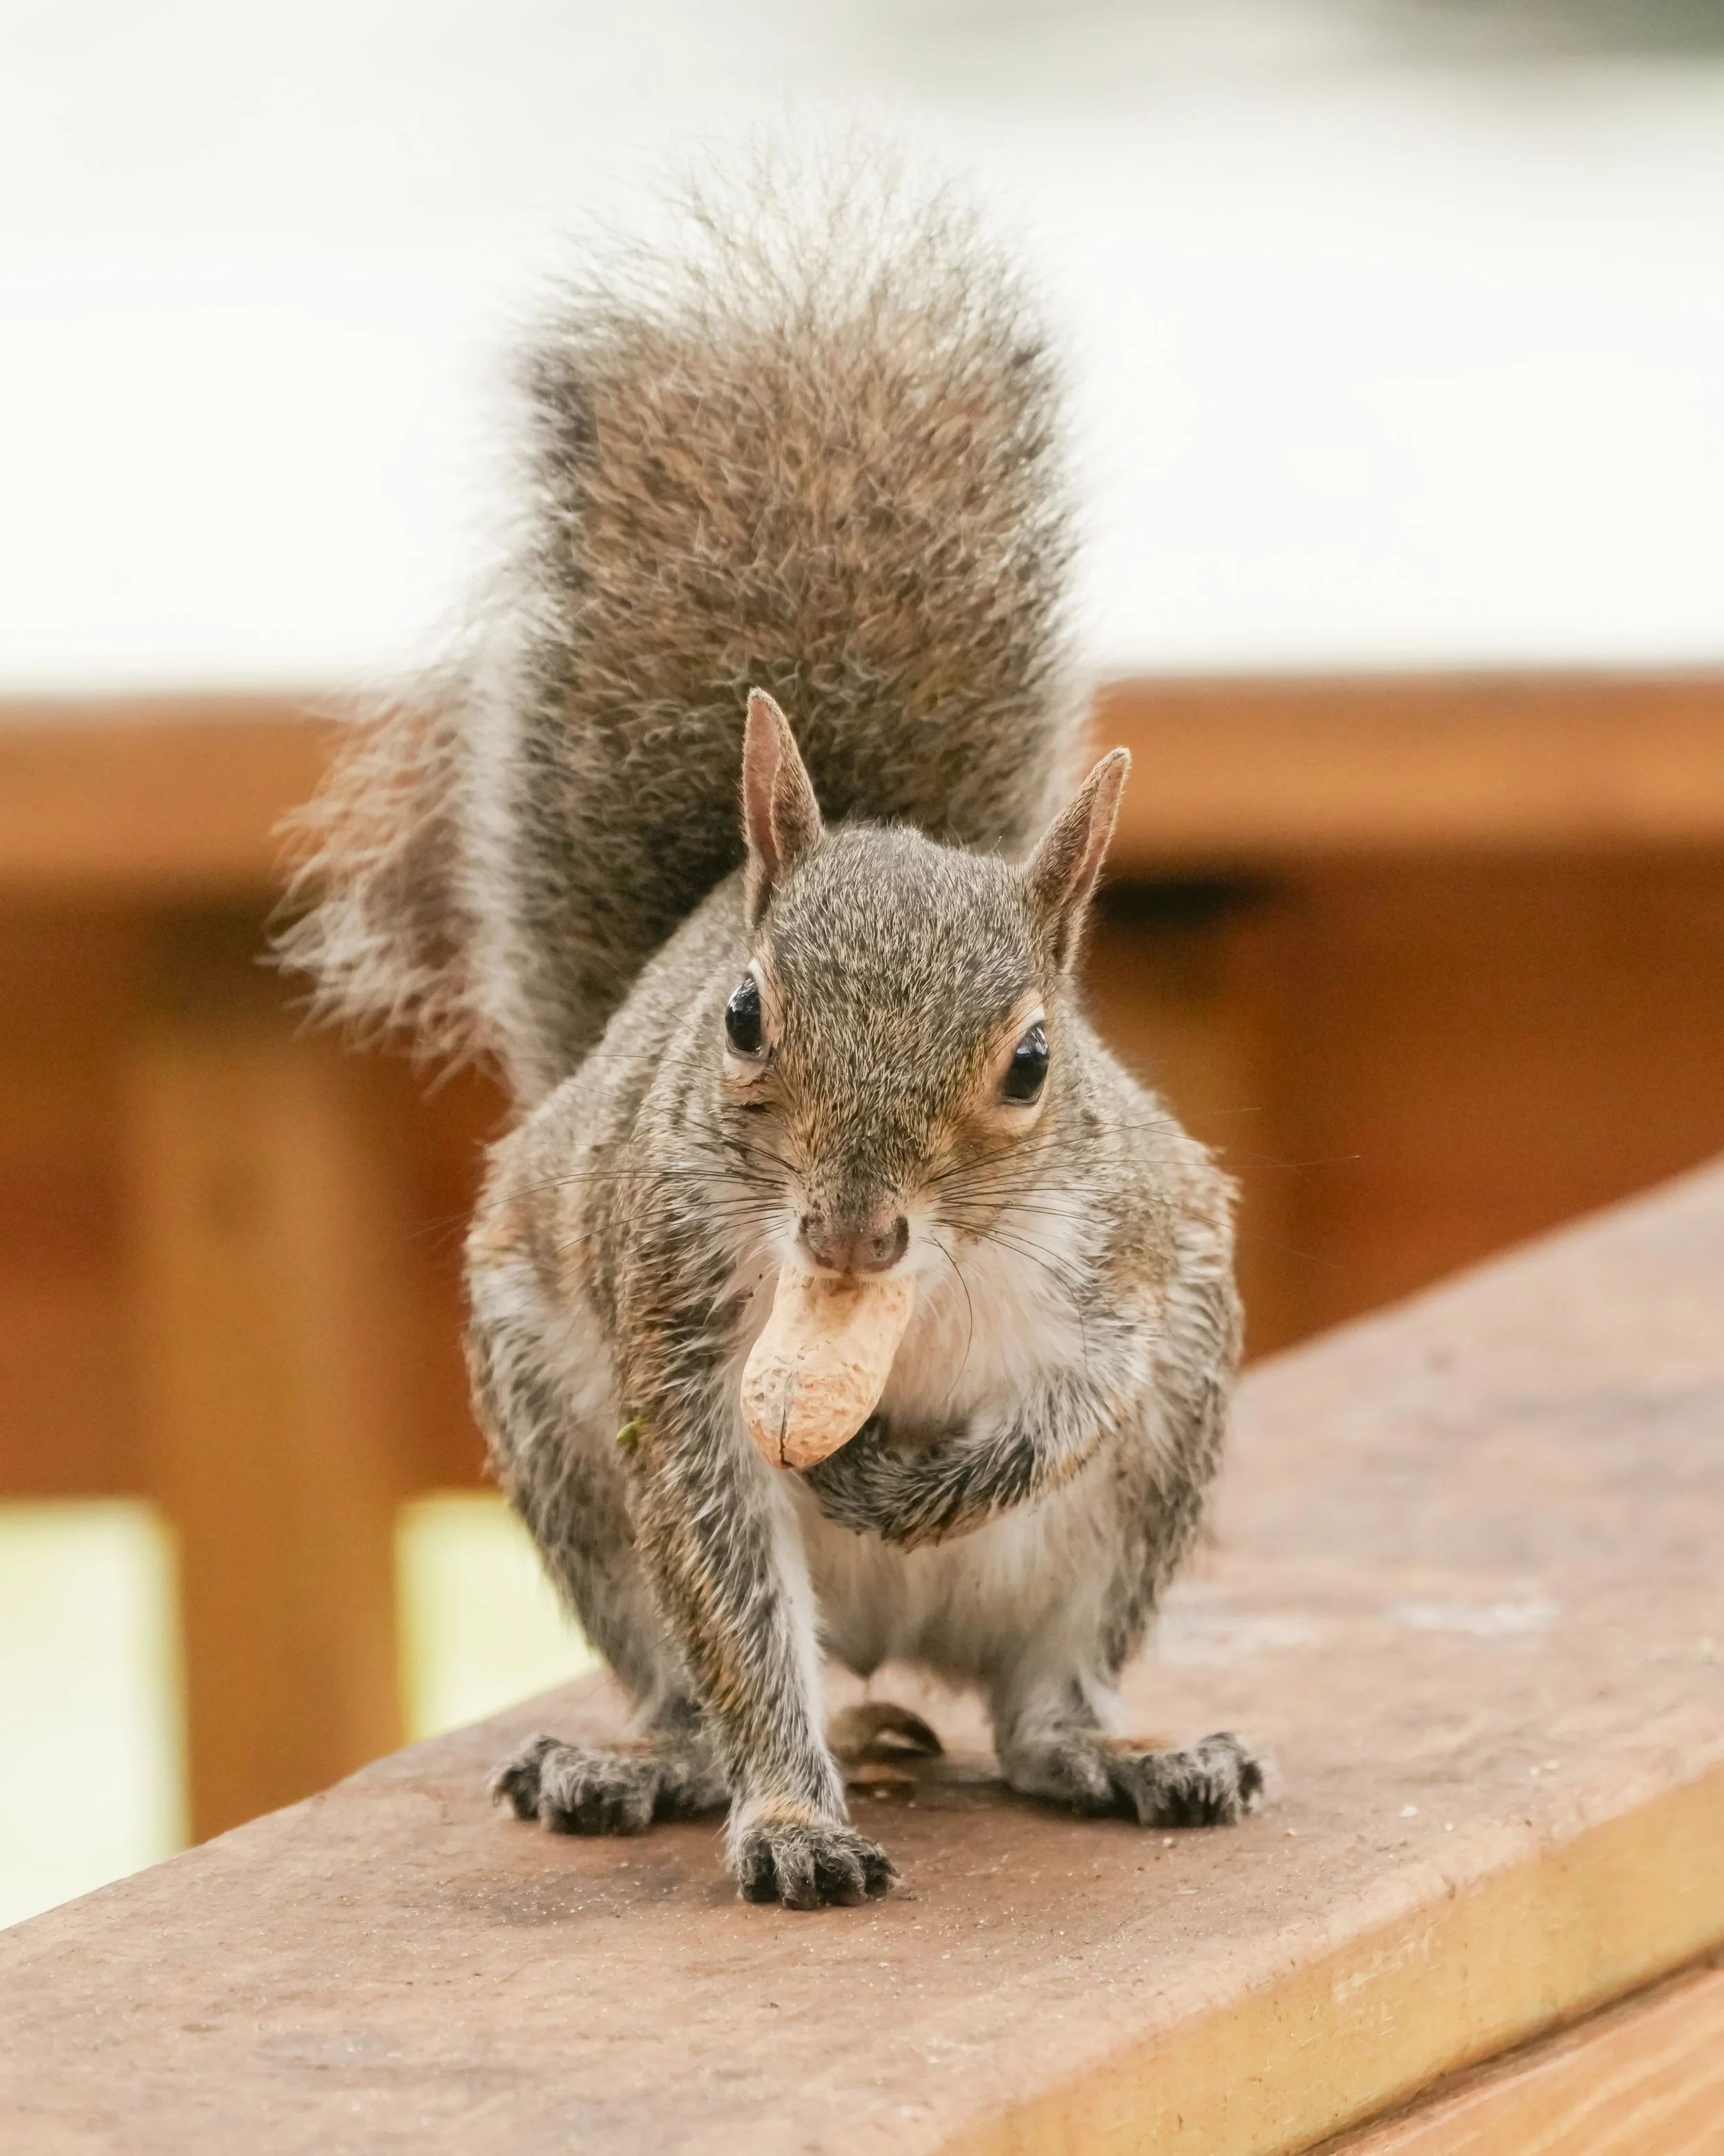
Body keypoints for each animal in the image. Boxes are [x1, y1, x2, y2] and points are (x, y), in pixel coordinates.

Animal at [280, 155, 1262, 1908]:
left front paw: (906, 1480)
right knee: (705, 1671)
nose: (852, 1231)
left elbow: (1075, 1394)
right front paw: (794, 1819)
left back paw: (1122, 1751)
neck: (895, 1311)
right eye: (744, 1017)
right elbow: (730, 1576)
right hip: (573, 1466)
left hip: (1145, 1494)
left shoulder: (1142, 1261)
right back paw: (654, 1762)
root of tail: (888, 1646)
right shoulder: (681, 1343)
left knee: (1040, 1710)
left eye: (1033, 1060)